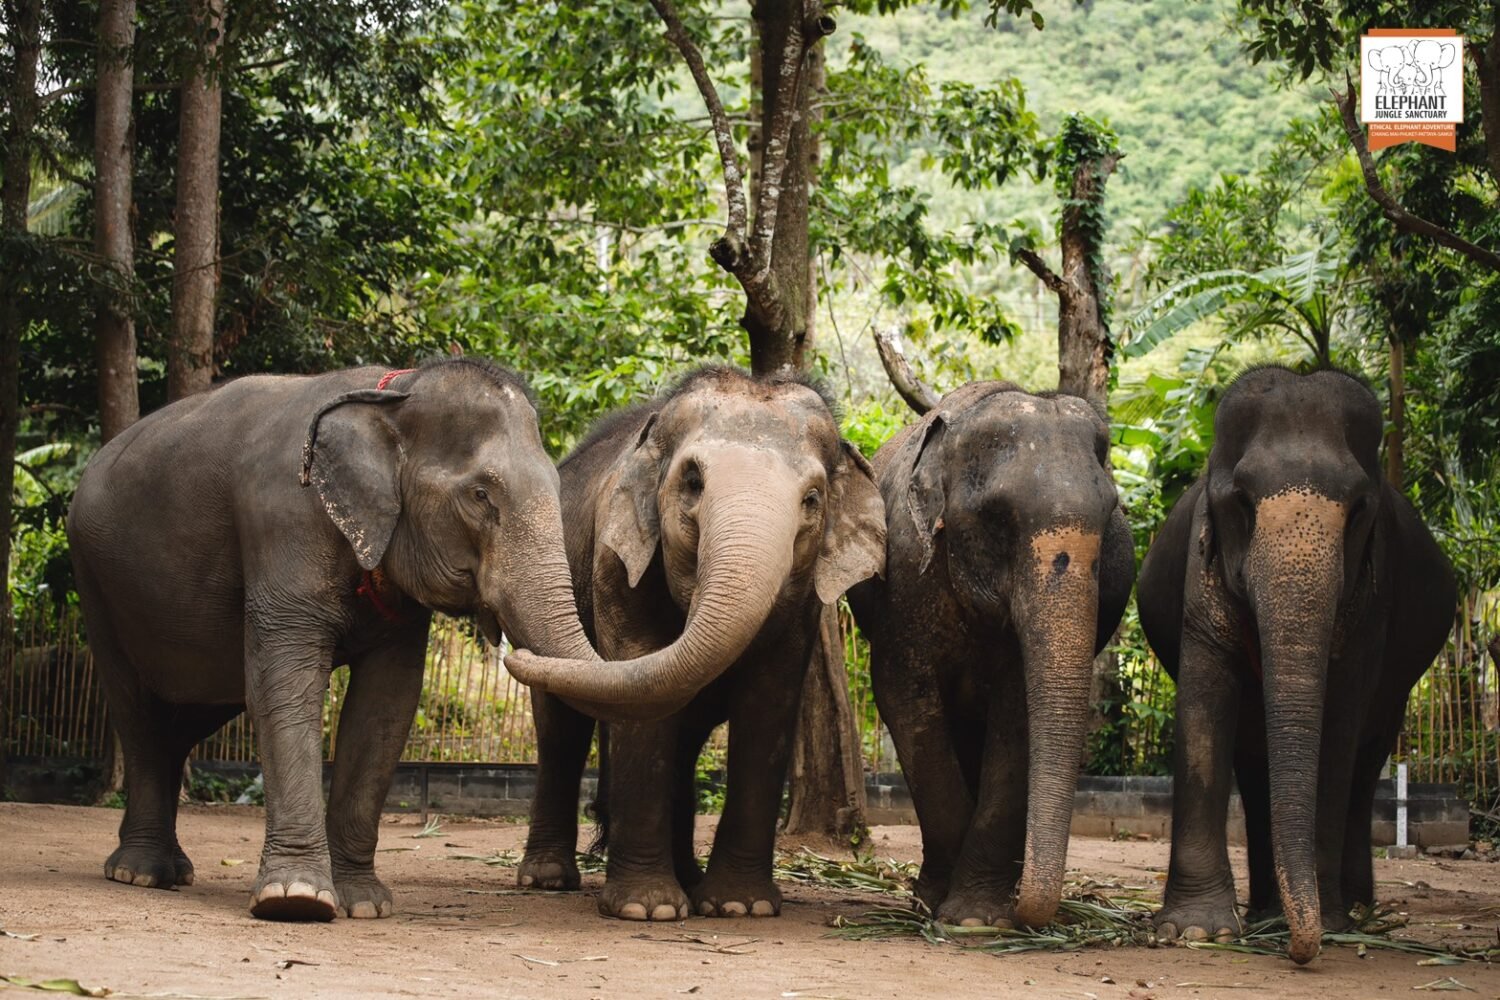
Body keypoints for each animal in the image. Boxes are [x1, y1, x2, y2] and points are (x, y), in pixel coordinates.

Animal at [67, 358, 657, 923]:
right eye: (480, 494)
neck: (392, 395)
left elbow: (386, 705)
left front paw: (364, 904)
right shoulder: (284, 521)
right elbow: (285, 686)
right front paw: (296, 900)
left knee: (187, 715)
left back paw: (168, 869)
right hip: (95, 581)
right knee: (136, 709)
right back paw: (142, 873)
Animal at [498, 367, 882, 923]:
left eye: (812, 499)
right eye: (694, 482)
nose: (514, 655)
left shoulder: (807, 602)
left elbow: (768, 705)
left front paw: (740, 906)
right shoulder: (615, 562)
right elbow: (640, 675)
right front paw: (647, 910)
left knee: (681, 742)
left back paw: (690, 878)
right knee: (561, 733)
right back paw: (548, 880)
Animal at [852, 380, 1128, 929]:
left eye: (1111, 518)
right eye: (998, 519)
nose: (1027, 917)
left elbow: (1017, 714)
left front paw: (976, 917)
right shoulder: (908, 579)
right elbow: (903, 697)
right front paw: (936, 904)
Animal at [1134, 365, 1452, 959]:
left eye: (1360, 507)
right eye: (1241, 500)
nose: (1302, 950)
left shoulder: (1373, 600)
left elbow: (1340, 721)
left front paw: (1325, 921)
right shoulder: (1199, 574)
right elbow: (1204, 706)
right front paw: (1196, 931)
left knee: (1367, 759)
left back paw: (1351, 909)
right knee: (1254, 763)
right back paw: (1266, 913)